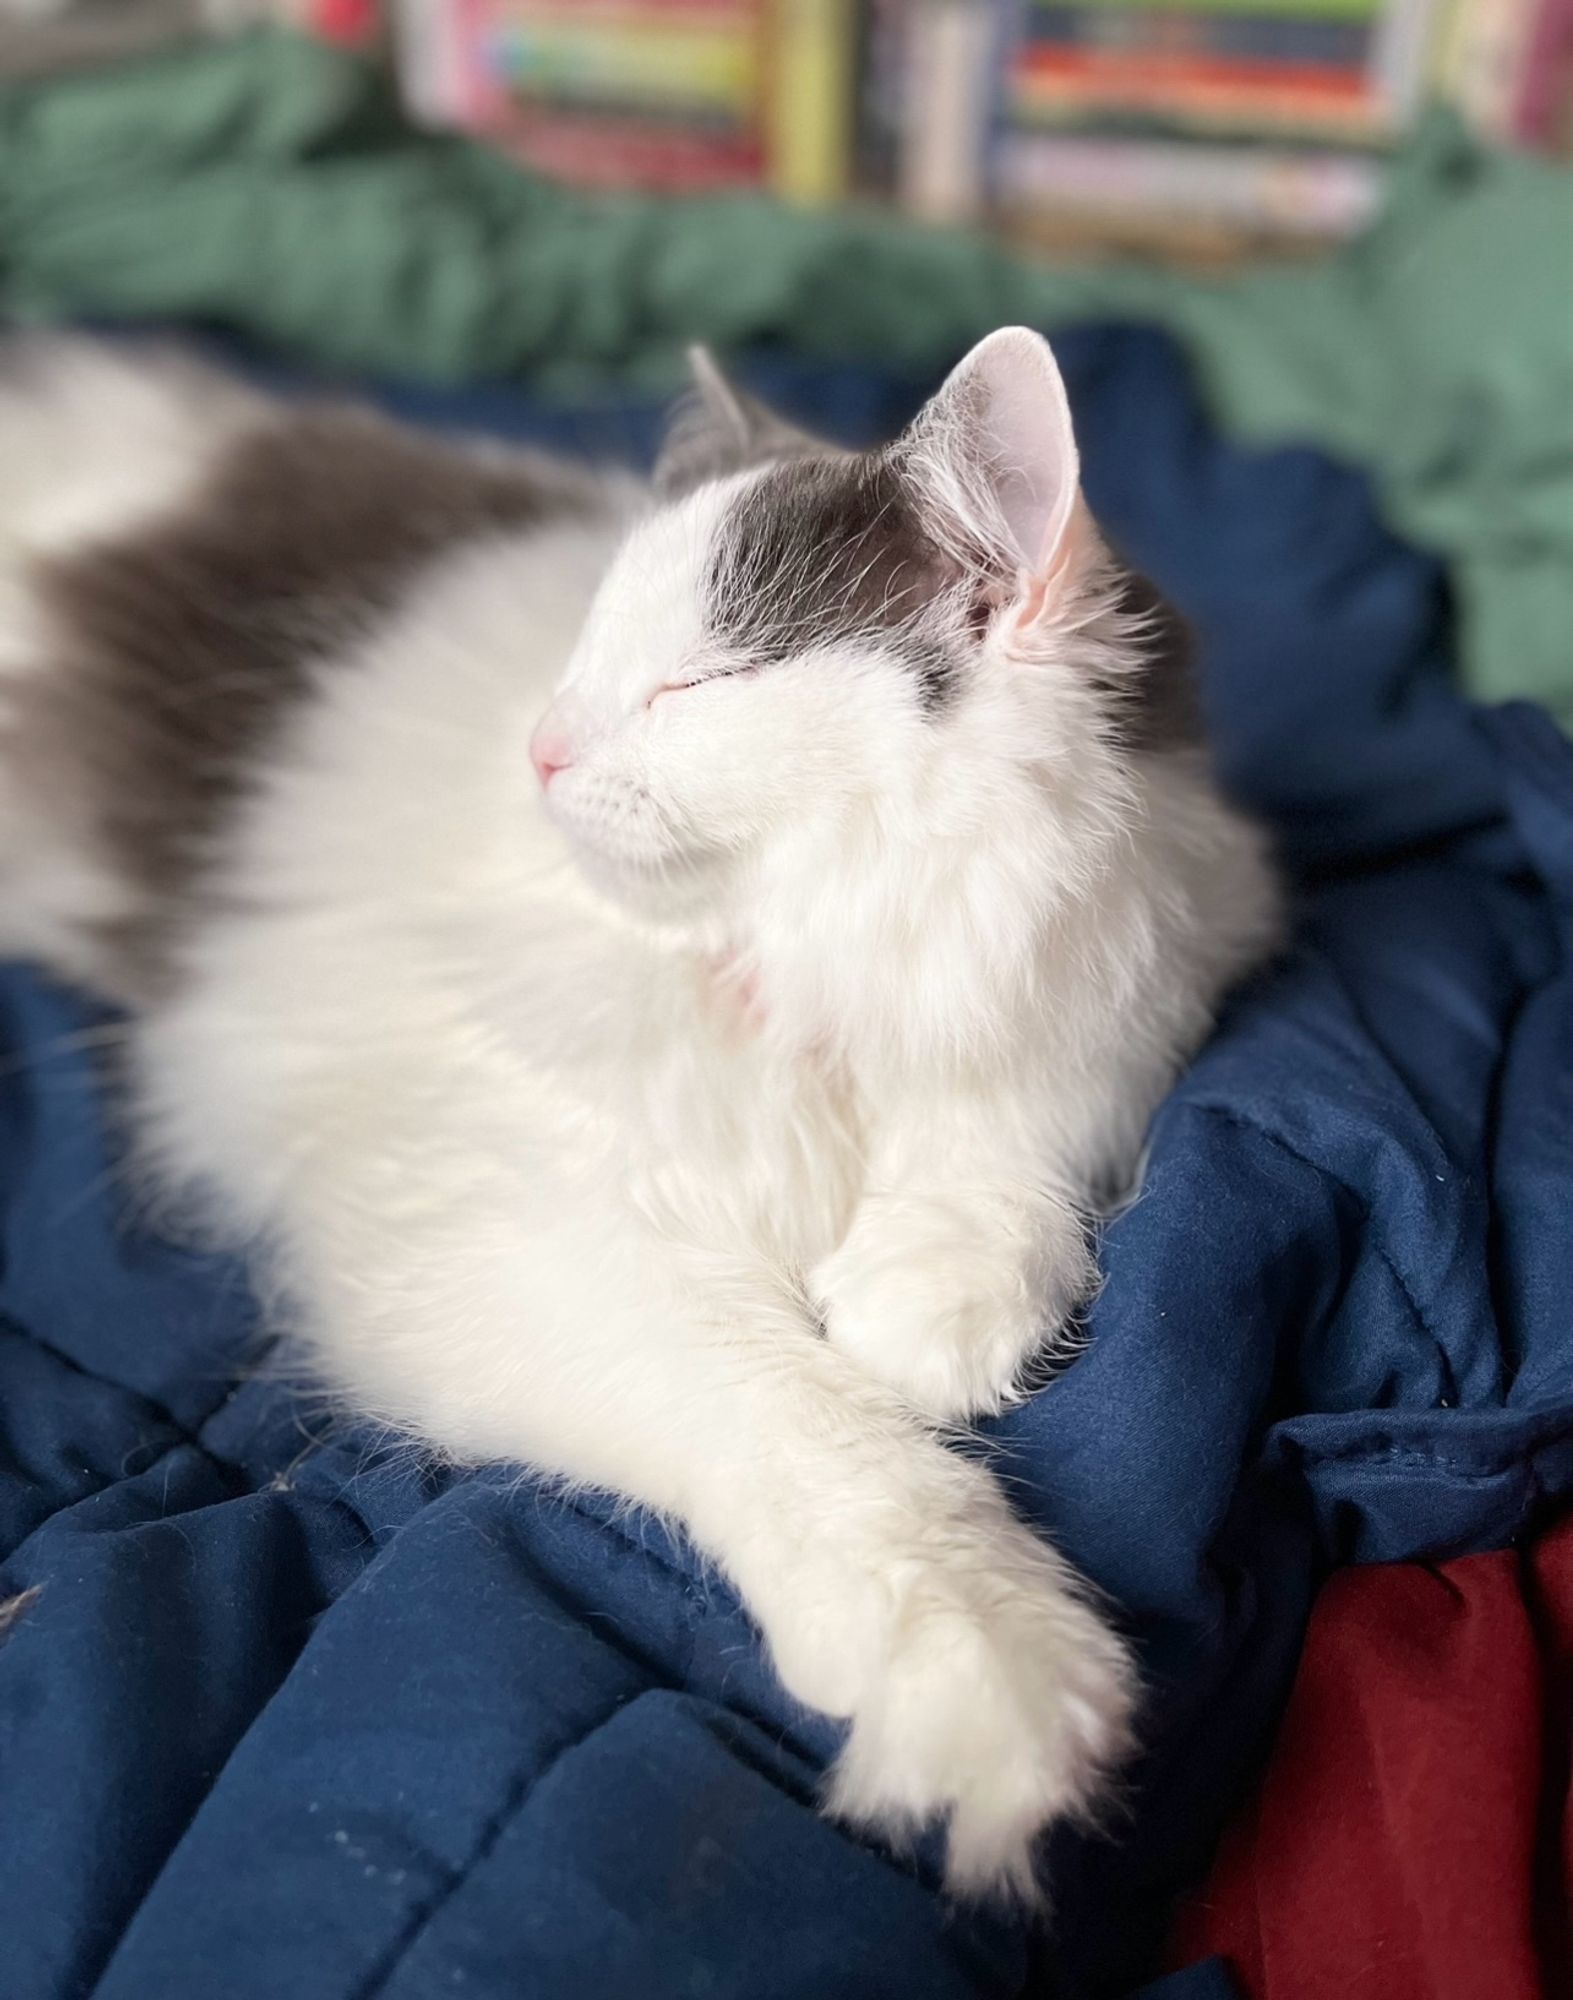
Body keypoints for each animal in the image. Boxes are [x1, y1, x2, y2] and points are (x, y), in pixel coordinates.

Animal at [0, 332, 1280, 1904]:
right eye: (585, 651)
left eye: (691, 683)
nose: (542, 747)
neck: (822, 968)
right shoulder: (510, 1236)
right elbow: (804, 1430)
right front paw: (988, 1675)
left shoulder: (1140, 959)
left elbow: (1014, 1131)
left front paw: (941, 1296)